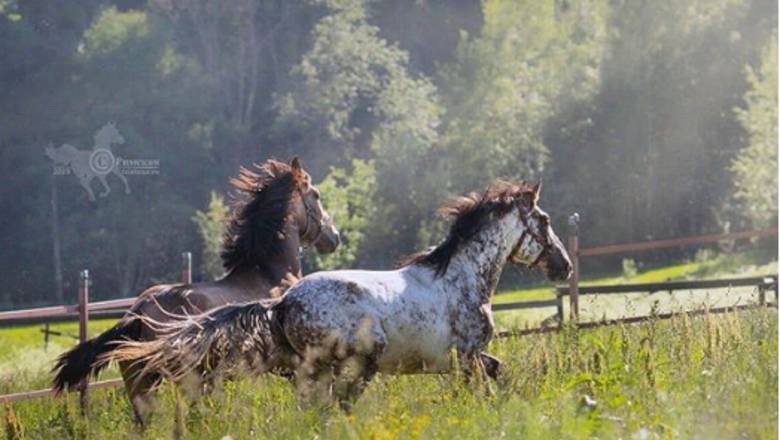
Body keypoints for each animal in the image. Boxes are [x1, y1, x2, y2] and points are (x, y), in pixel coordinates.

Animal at [51, 156, 338, 424]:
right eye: (316, 195)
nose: (334, 237)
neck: (272, 276)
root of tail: (137, 313)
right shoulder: (295, 365)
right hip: (183, 380)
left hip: (142, 384)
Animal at [112, 179, 568, 410]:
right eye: (544, 221)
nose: (563, 265)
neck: (460, 277)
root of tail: (283, 302)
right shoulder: (467, 356)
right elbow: (487, 383)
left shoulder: (463, 360)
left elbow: (499, 373)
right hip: (356, 363)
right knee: (335, 405)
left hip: (314, 370)